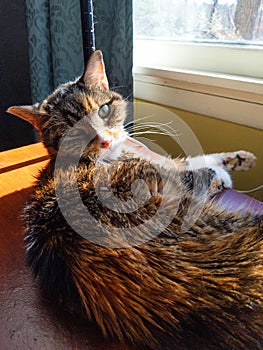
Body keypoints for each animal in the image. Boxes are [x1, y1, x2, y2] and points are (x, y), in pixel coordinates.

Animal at [7, 50, 262, 350]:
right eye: (72, 131)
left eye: (104, 110)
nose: (105, 142)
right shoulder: (161, 173)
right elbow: (192, 168)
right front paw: (222, 173)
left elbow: (193, 158)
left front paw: (240, 158)